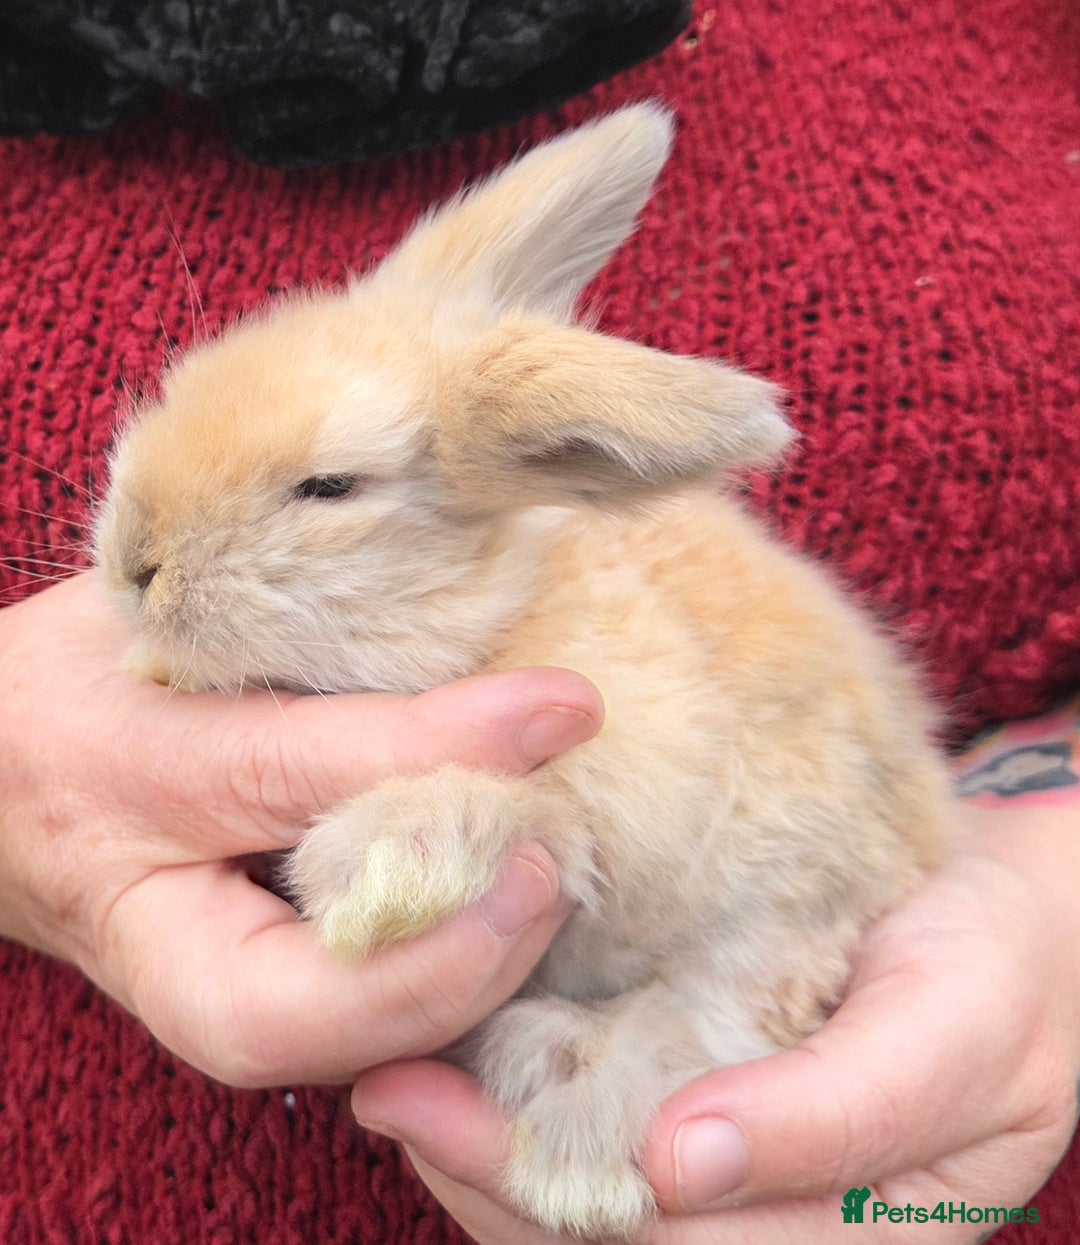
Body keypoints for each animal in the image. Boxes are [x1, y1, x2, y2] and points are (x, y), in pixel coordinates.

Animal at [94, 103, 952, 1239]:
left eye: (330, 487)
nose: (132, 563)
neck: (495, 613)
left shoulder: (618, 788)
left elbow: (527, 812)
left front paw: (378, 872)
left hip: (784, 906)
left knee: (701, 1027)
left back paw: (570, 1144)